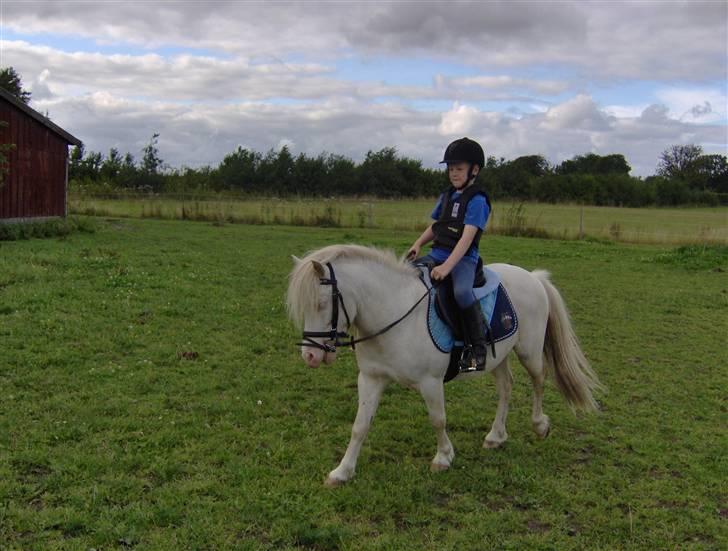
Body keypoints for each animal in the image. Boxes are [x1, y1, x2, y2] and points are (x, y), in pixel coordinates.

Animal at [288, 244, 600, 486]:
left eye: (322, 302)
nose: (310, 356)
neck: (394, 313)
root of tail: (533, 278)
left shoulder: (431, 381)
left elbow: (438, 419)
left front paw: (443, 457)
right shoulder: (370, 378)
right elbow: (360, 426)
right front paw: (342, 472)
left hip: (529, 351)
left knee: (539, 380)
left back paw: (539, 425)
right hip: (498, 355)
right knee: (506, 387)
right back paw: (496, 436)